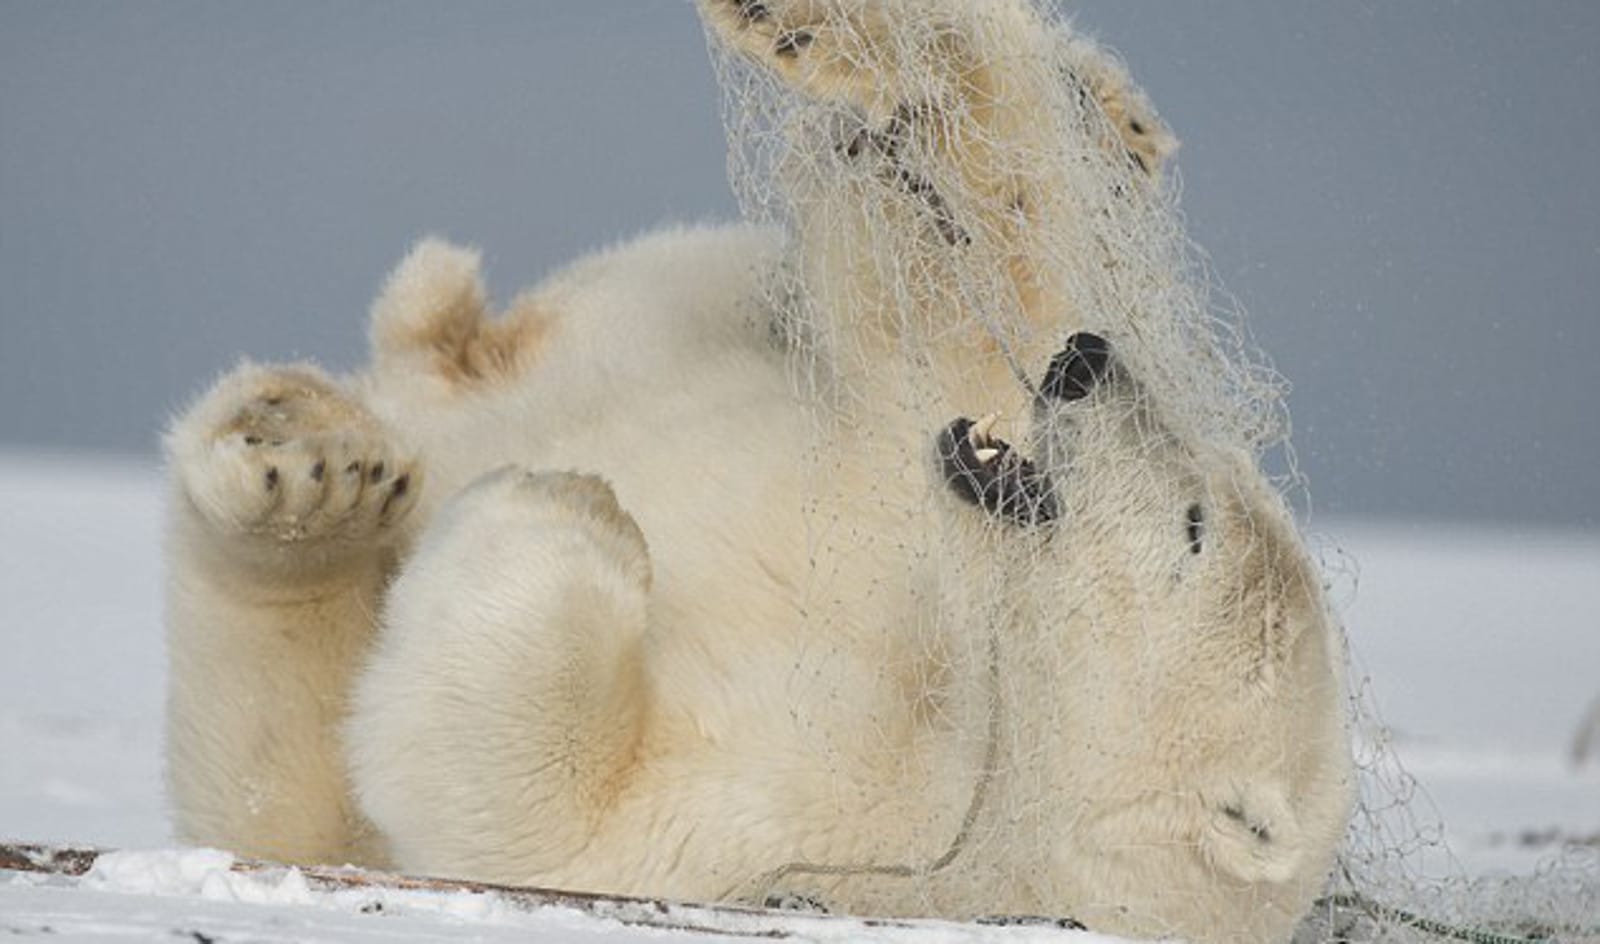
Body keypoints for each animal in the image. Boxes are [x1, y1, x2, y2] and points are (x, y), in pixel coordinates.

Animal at [162, 2, 1353, 942]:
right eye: (1215, 483)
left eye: (1194, 523)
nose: (1090, 358)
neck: (984, 718)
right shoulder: (914, 490)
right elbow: (946, 299)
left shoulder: (800, 836)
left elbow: (533, 803)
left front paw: (578, 510)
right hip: (670, 296)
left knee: (279, 771)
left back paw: (315, 485)